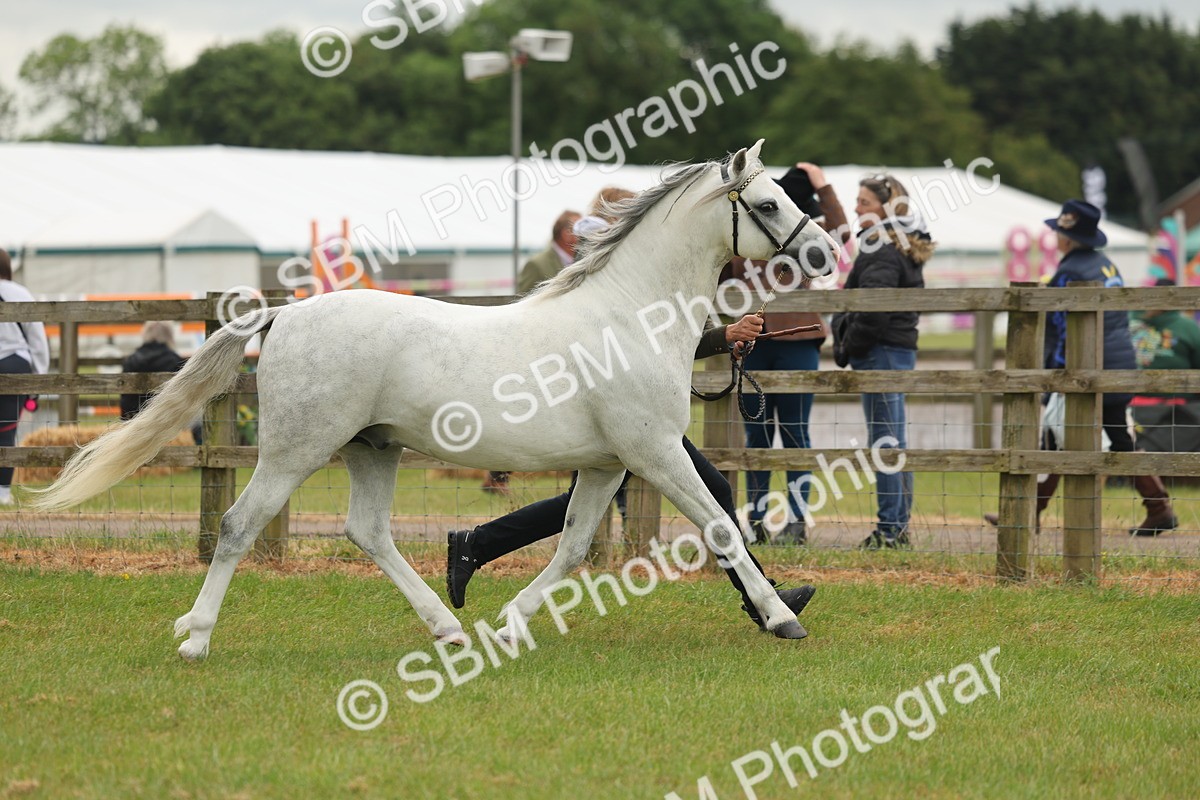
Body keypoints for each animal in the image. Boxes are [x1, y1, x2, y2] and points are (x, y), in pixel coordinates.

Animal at [33, 140, 839, 660]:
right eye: (769, 202)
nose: (826, 253)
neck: (629, 317)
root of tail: (281, 316)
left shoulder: (609, 464)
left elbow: (574, 545)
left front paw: (511, 623)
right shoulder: (656, 453)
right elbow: (721, 527)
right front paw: (781, 619)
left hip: (373, 449)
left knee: (368, 532)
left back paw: (447, 628)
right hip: (296, 450)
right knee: (237, 525)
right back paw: (196, 638)